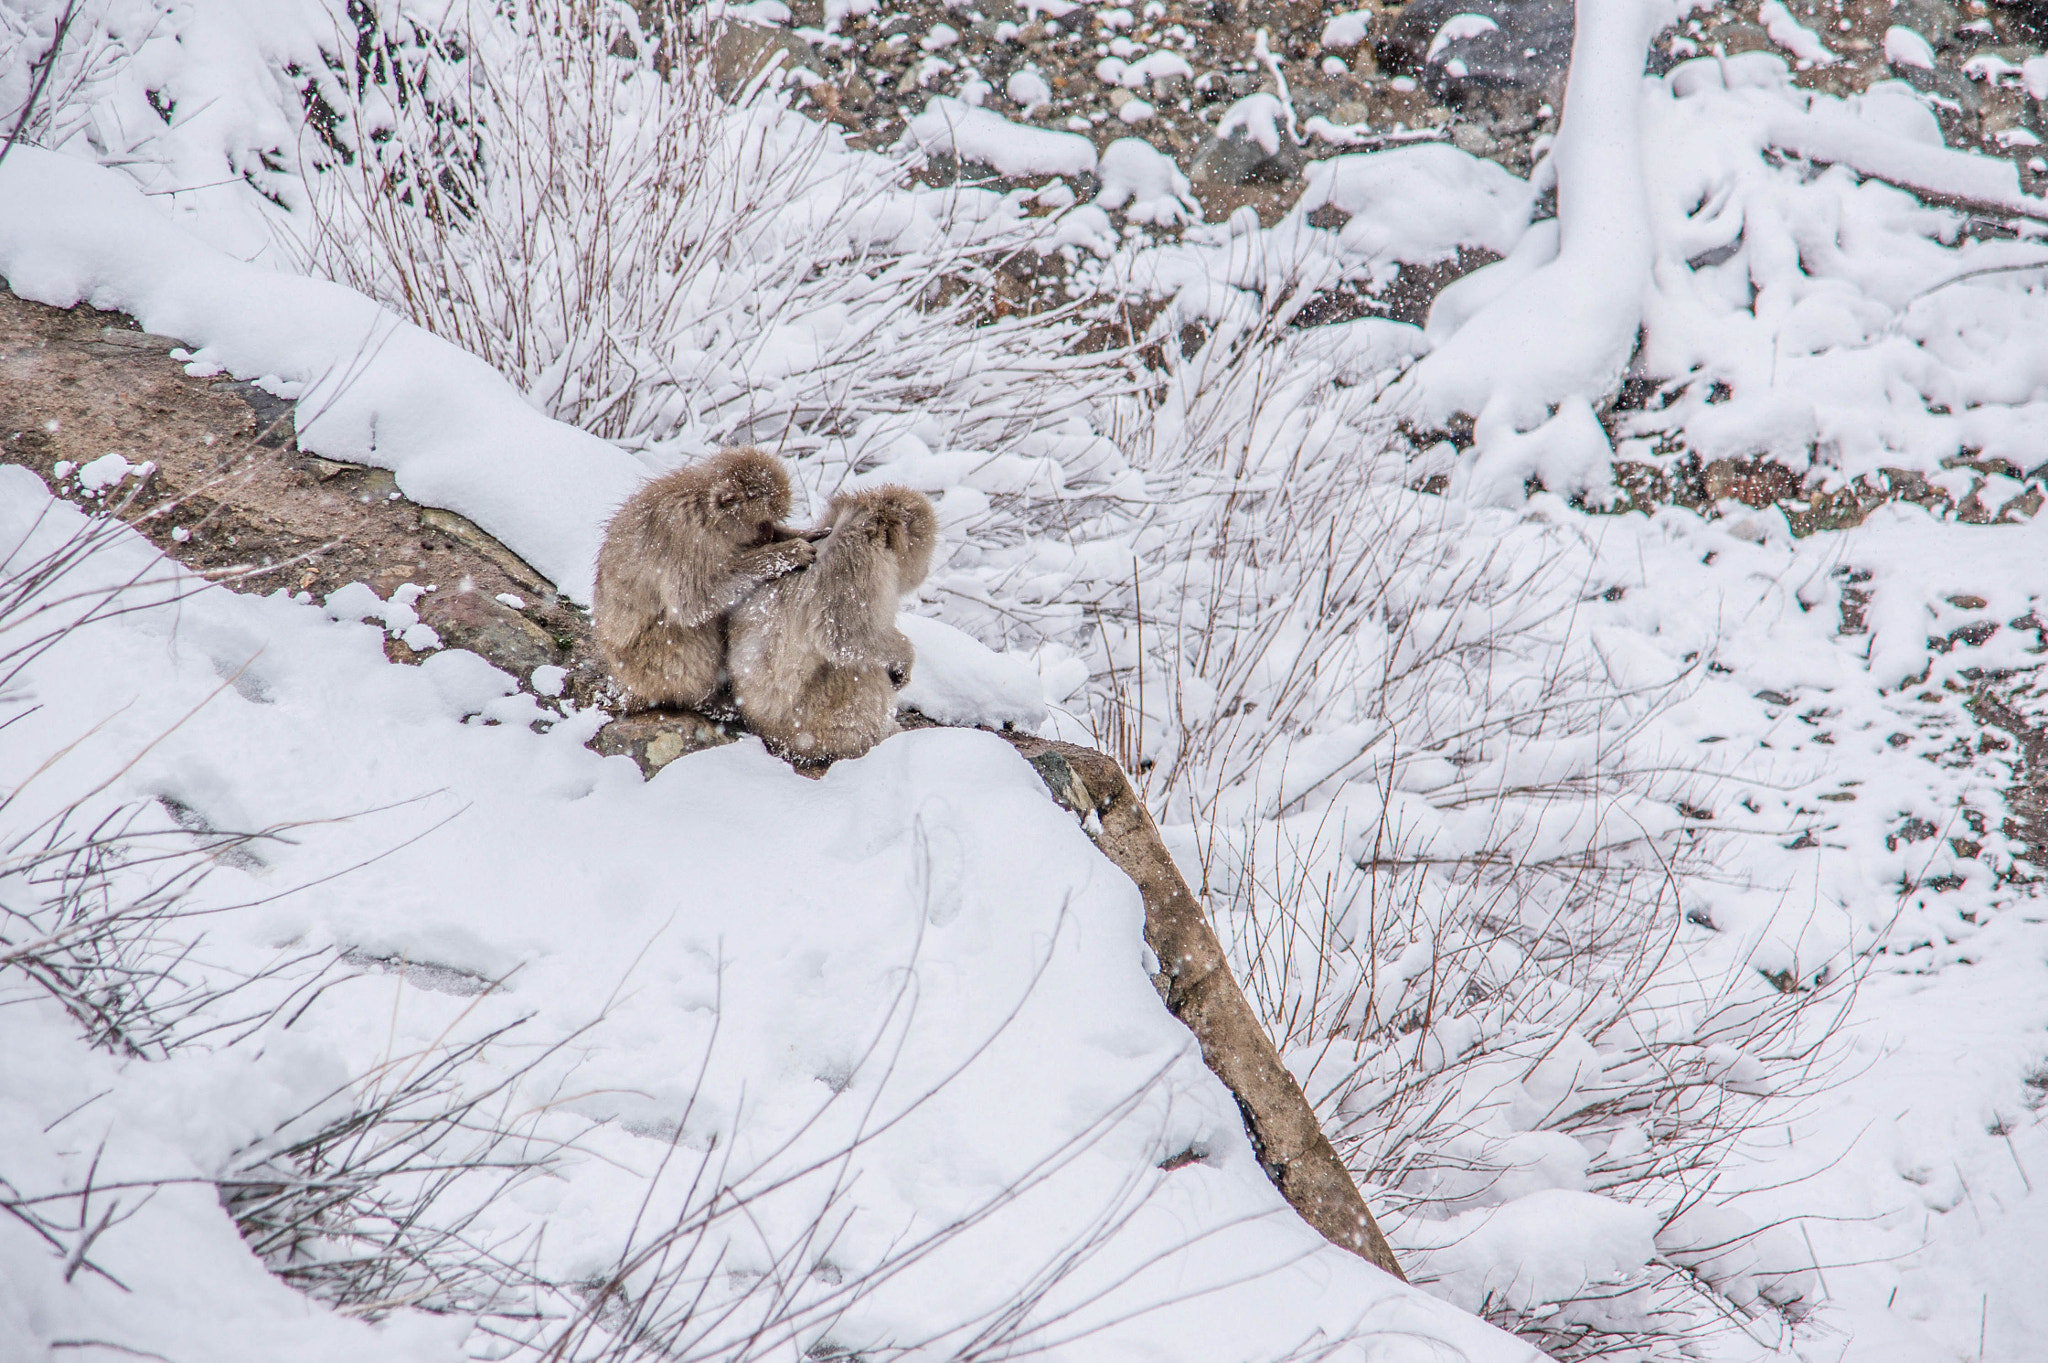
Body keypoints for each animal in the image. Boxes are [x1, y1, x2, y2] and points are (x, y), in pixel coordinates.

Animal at [593, 448, 815, 712]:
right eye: (762, 523)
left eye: (772, 522)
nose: (769, 534)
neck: (708, 515)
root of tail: (630, 687)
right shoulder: (686, 536)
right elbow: (693, 600)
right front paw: (787, 552)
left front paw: (799, 534)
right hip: (649, 666)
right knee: (683, 629)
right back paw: (709, 701)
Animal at [729, 485, 937, 765]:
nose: (925, 571)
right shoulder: (857, 559)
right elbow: (846, 637)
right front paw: (903, 660)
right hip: (812, 723)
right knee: (856, 670)